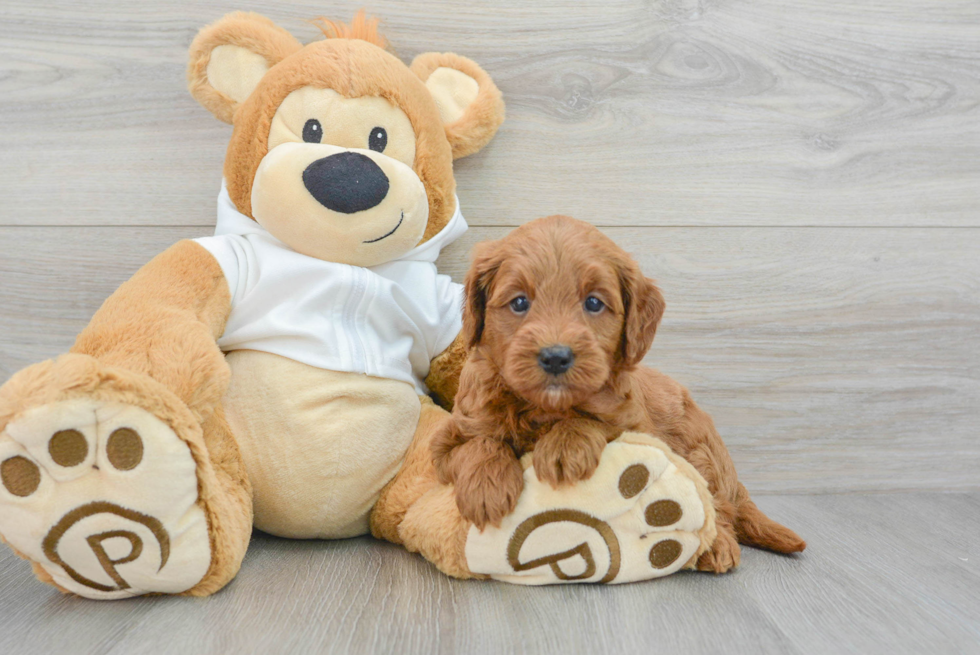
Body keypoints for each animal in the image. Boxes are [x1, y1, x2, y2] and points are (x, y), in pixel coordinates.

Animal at [432, 217, 808, 576]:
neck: (543, 407)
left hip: (702, 454)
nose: (555, 357)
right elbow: (477, 444)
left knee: (718, 507)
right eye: (519, 302)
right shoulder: (449, 437)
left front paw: (564, 446)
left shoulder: (636, 426)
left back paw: (716, 546)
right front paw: (486, 489)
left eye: (594, 303)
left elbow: (594, 421)